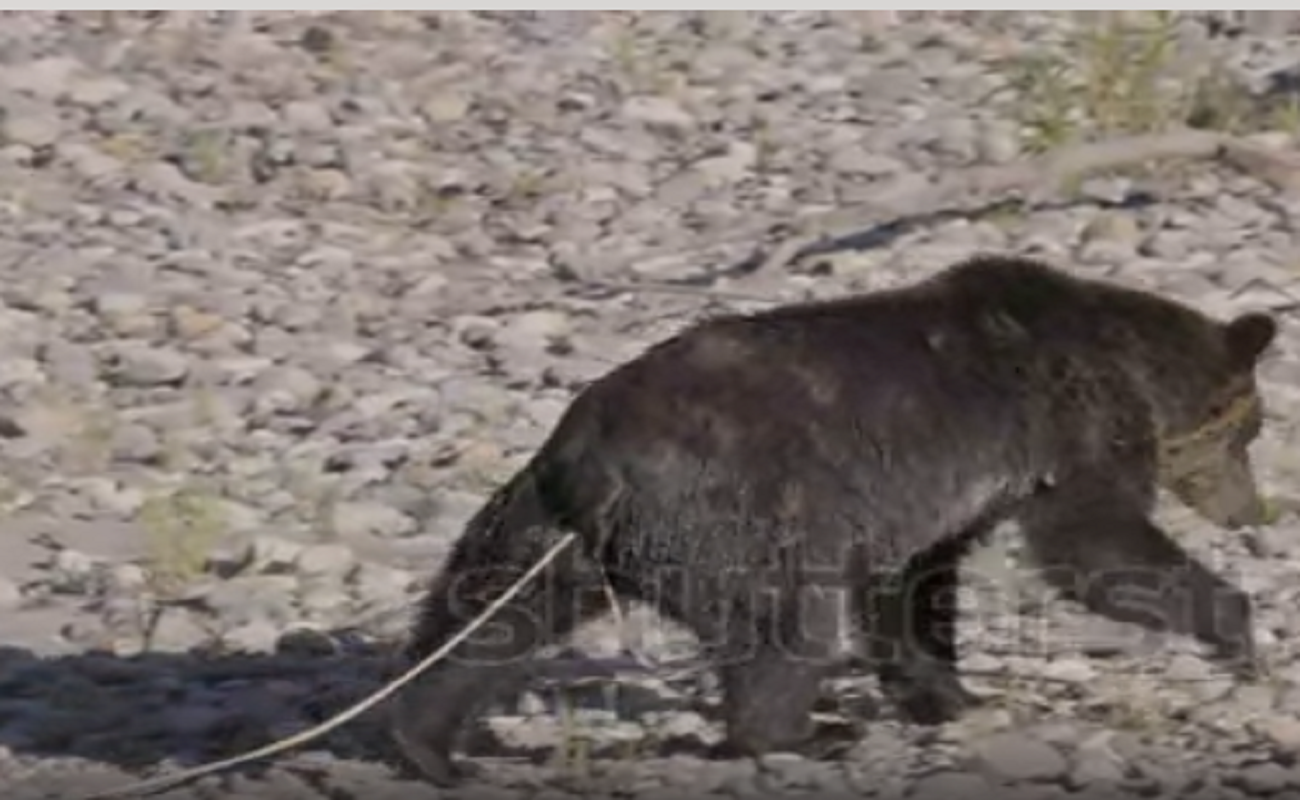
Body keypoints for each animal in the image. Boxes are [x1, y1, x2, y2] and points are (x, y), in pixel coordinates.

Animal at [387, 253, 1279, 785]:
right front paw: (1237, 627)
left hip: (547, 529)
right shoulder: (1070, 419)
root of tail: (590, 456)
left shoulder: (932, 497)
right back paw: (801, 735)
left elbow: (912, 586)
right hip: (737, 516)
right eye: (1254, 432)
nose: (1255, 512)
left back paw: (428, 744)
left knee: (482, 618)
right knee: (785, 627)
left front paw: (945, 692)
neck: (1132, 362)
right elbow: (1093, 543)